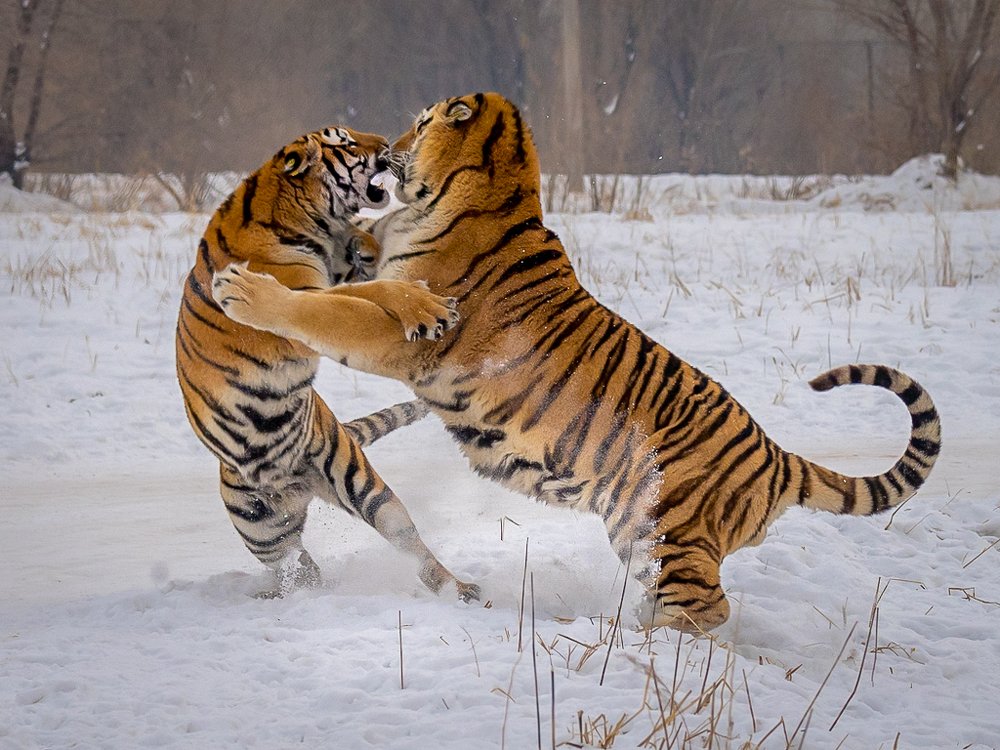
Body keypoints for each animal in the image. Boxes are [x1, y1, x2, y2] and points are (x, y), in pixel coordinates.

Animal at [176, 123, 478, 602]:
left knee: (406, 544)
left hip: (361, 485)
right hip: (259, 527)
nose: (385, 145)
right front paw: (424, 305)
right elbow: (372, 292)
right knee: (299, 566)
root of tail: (297, 486)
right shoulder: (303, 305)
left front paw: (366, 242)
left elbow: (364, 271)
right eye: (347, 142)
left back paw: (458, 589)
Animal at [209, 93, 941, 631]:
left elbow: (321, 313)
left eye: (419, 121)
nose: (384, 149)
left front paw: (244, 290)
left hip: (671, 535)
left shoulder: (405, 333)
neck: (492, 186)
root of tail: (778, 456)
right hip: (640, 535)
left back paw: (632, 642)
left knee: (708, 610)